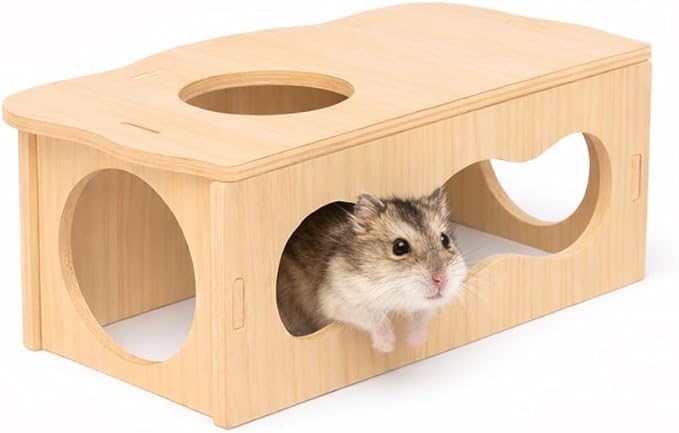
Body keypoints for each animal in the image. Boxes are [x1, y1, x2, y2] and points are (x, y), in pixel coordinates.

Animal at [276, 187, 468, 352]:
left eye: (445, 239)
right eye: (399, 247)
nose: (441, 280)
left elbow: (422, 313)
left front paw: (415, 341)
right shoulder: (338, 299)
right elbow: (374, 315)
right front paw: (387, 346)